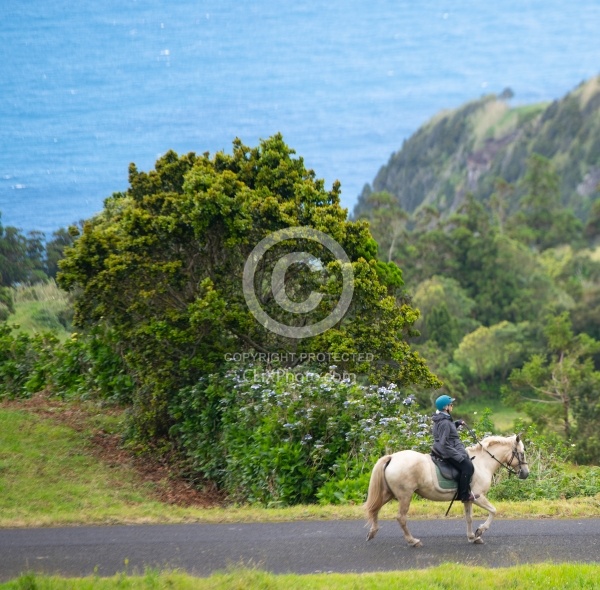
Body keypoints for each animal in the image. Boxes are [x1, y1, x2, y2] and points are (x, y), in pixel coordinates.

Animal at [364, 432, 528, 548]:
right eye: (522, 453)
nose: (526, 474)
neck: (483, 462)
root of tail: (392, 457)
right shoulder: (478, 496)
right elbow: (493, 511)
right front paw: (480, 530)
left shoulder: (468, 499)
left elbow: (469, 518)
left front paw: (472, 537)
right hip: (405, 496)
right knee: (401, 518)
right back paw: (413, 541)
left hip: (388, 493)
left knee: (375, 509)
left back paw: (372, 532)